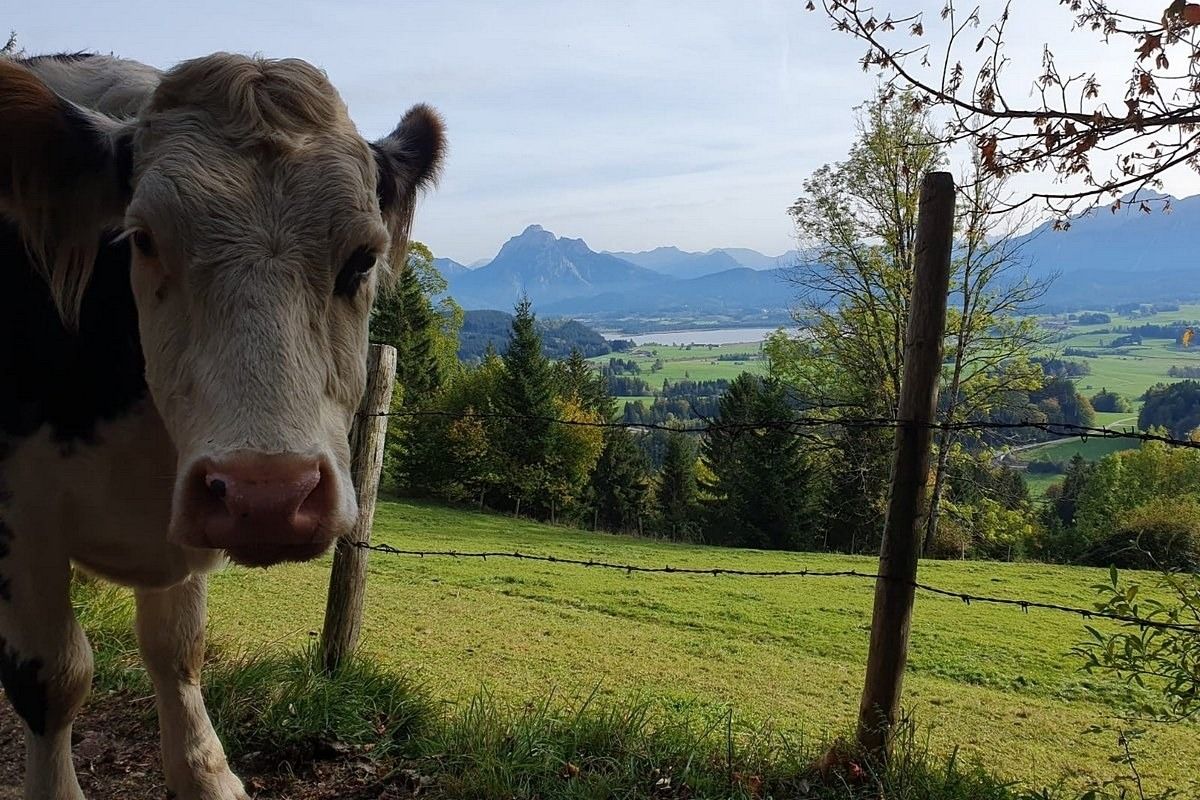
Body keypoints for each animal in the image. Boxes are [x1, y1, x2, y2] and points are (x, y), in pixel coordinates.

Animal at [0, 51, 444, 799]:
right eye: (142, 240)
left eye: (362, 257)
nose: (267, 494)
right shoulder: (18, 515)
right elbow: (52, 679)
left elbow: (178, 650)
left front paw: (206, 776)